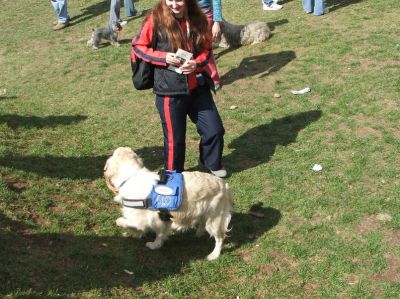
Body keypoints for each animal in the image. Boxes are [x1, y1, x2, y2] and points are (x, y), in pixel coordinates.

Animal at [104, 148, 233, 260]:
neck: (132, 176)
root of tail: (224, 185)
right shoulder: (161, 220)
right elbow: (160, 234)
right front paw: (156, 244)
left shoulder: (139, 221)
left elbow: (121, 221)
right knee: (202, 224)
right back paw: (198, 234)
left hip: (214, 220)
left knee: (220, 238)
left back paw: (214, 255)